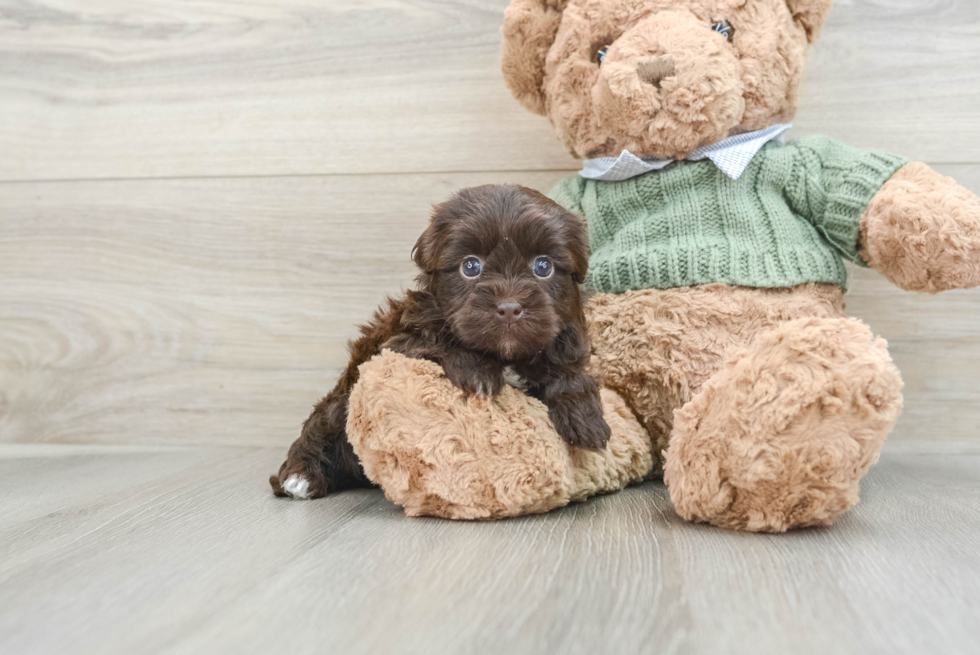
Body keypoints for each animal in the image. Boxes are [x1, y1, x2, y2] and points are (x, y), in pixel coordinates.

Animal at [272, 184, 608, 502]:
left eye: (543, 266)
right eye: (470, 267)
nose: (509, 307)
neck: (504, 355)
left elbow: (568, 370)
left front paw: (585, 417)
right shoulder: (398, 343)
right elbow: (438, 342)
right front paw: (478, 372)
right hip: (342, 398)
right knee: (321, 422)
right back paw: (300, 477)